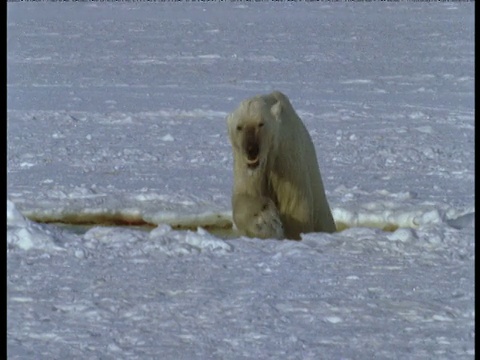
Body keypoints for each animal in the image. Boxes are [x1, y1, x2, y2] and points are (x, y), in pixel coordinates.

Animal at [227, 90, 336, 239]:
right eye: (239, 127)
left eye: (261, 124)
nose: (251, 150)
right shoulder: (245, 165)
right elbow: (244, 194)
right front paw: (265, 222)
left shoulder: (287, 160)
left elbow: (295, 207)